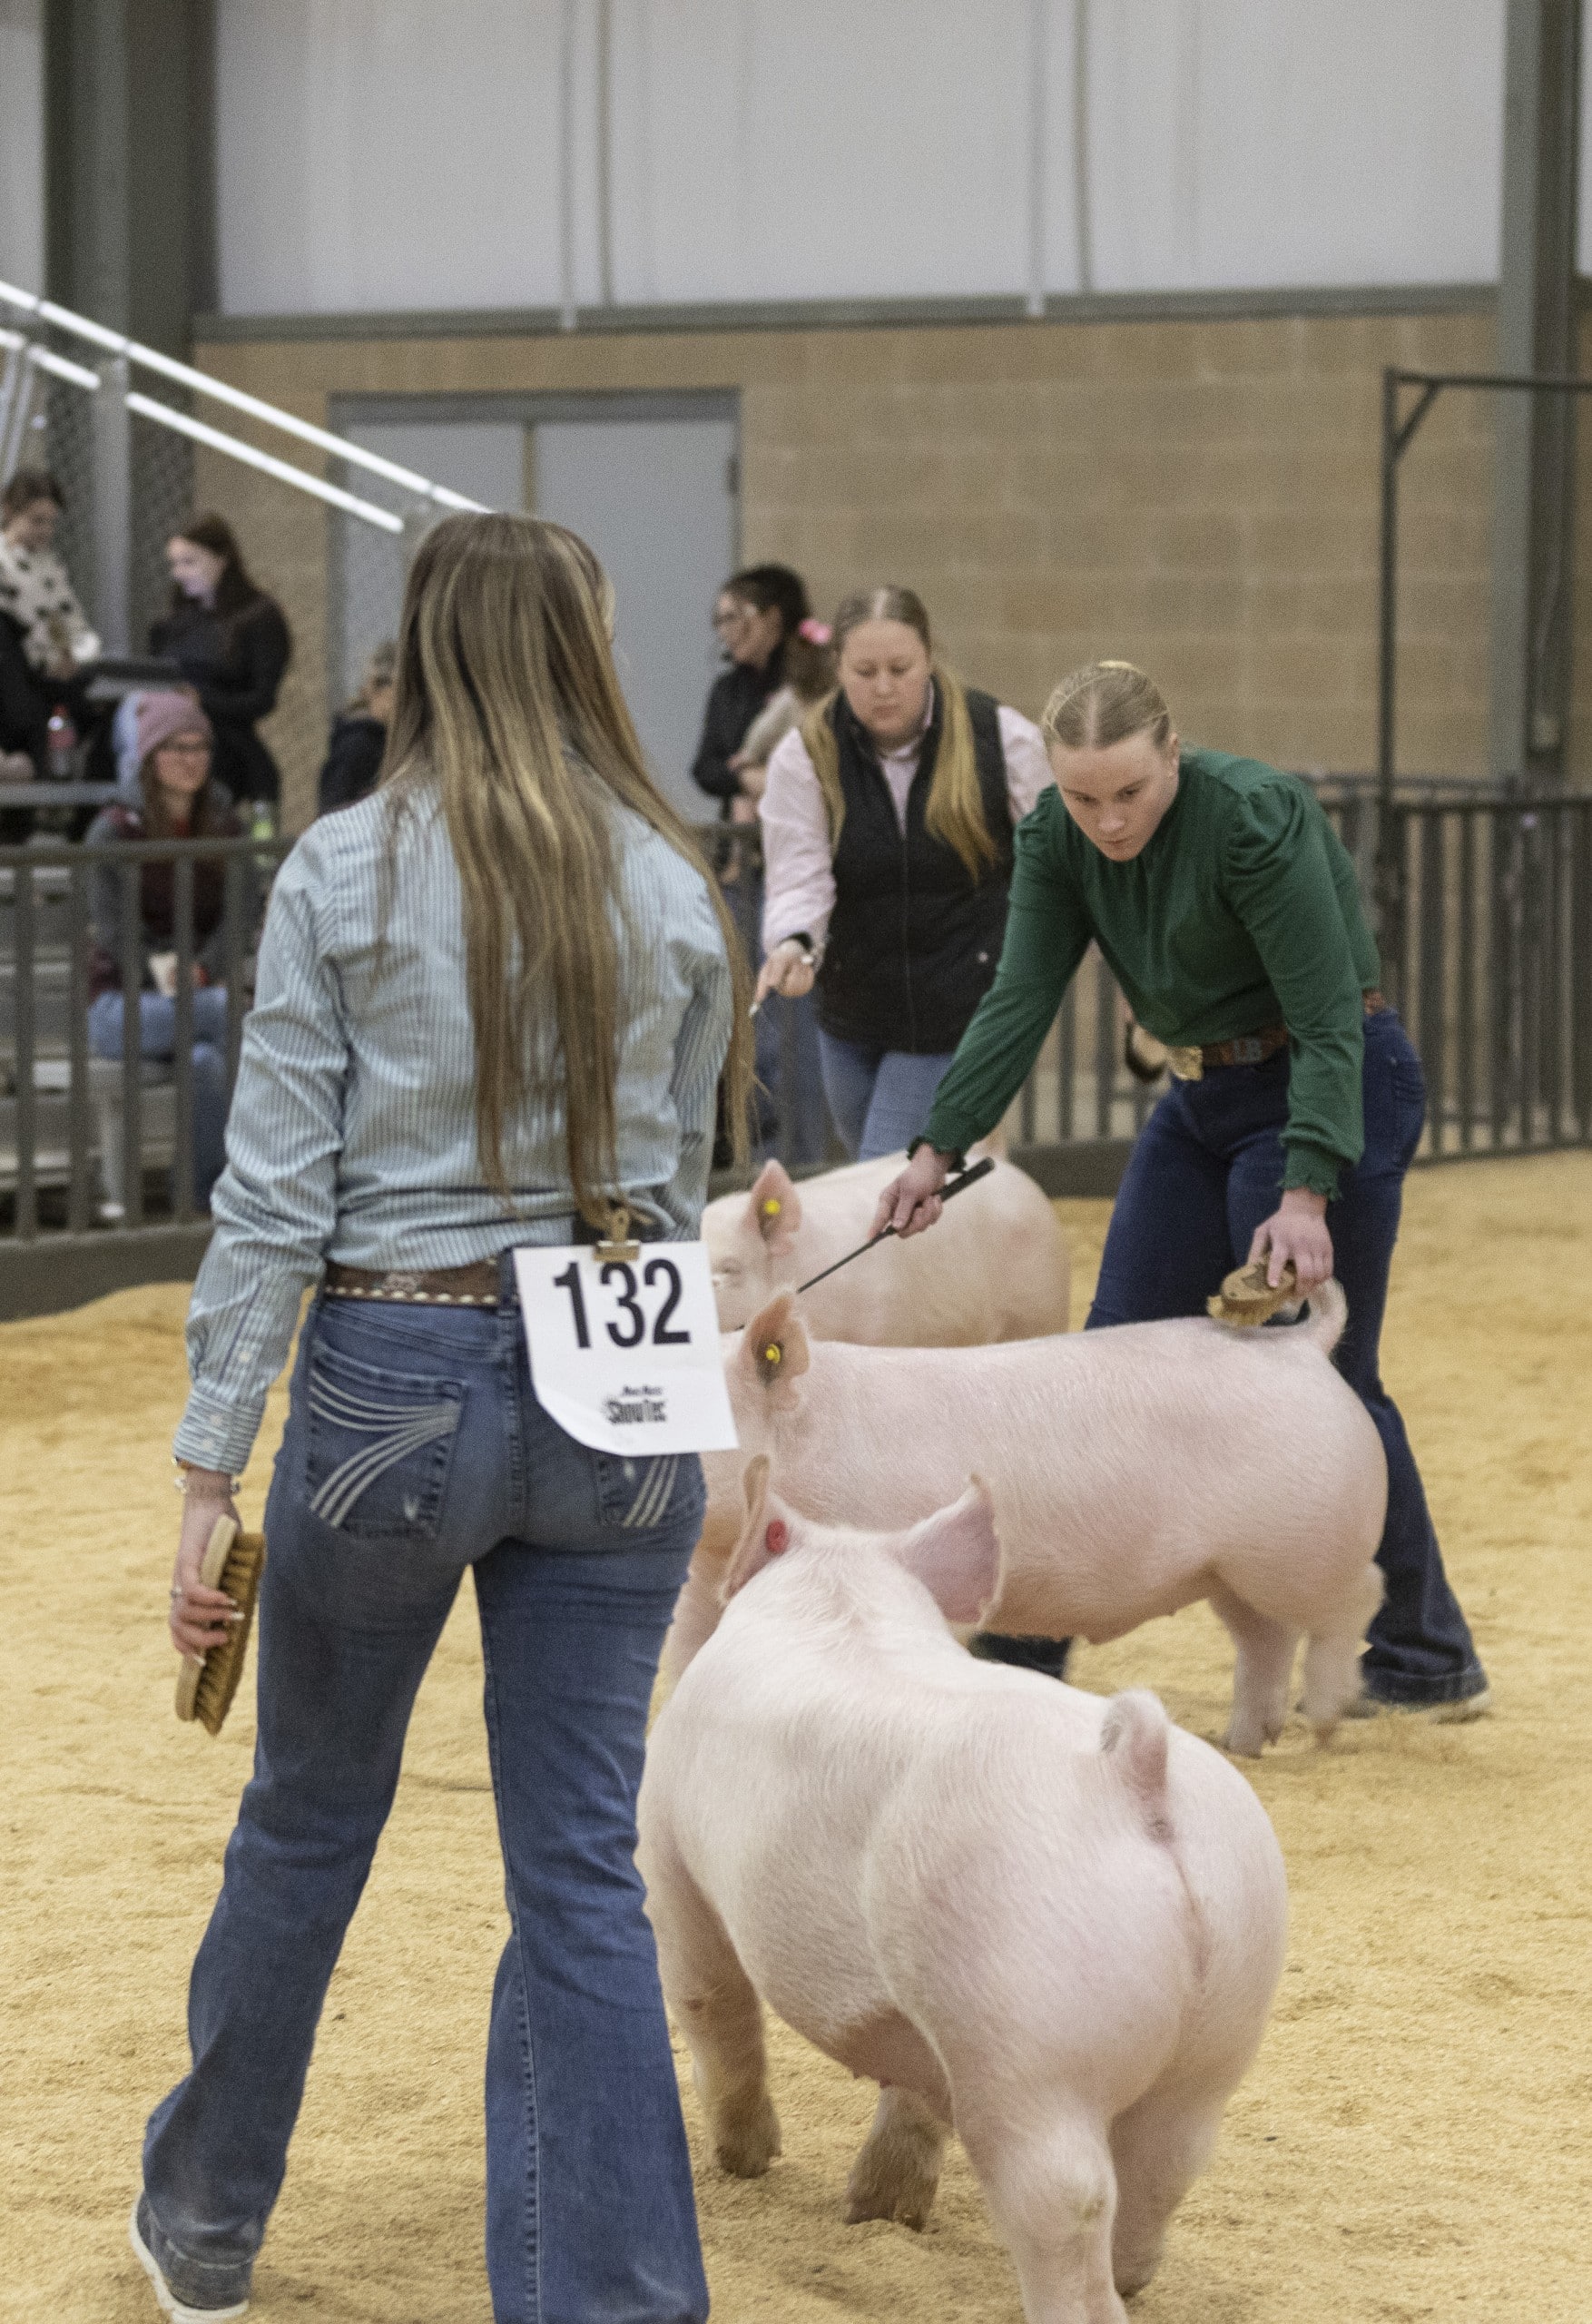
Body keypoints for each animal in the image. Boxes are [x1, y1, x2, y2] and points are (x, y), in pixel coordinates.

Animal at [640, 1460, 1289, 2322]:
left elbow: (712, 2002)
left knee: (1067, 2199)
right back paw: (1133, 2274)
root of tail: (1133, 1773)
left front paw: (745, 2163)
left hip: (1028, 2028)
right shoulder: (921, 2016)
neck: (841, 1588)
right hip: (1223, 2017)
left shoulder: (670, 1854)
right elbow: (914, 2091)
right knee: (1166, 2166)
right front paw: (879, 2212)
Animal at [670, 1282, 1387, 1755]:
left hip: (1302, 1544)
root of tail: (1302, 1344)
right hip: (1228, 1570)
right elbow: (688, 1656)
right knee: (1266, 1637)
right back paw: (1243, 1742)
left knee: (1355, 1601)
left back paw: (1325, 1721)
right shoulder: (707, 1580)